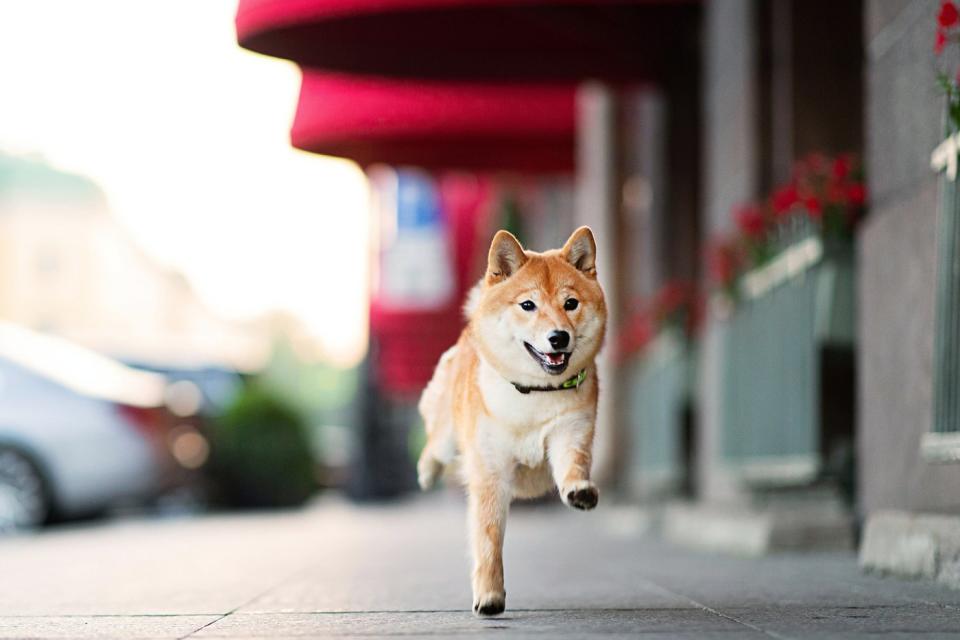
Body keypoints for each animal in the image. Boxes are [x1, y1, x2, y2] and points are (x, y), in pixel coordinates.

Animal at [414, 225, 608, 616]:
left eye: (571, 303)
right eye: (528, 305)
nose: (558, 337)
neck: (534, 394)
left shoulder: (571, 432)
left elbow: (573, 465)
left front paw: (579, 490)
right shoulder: (490, 469)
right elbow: (488, 538)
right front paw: (490, 594)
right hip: (448, 436)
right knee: (434, 443)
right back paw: (426, 471)